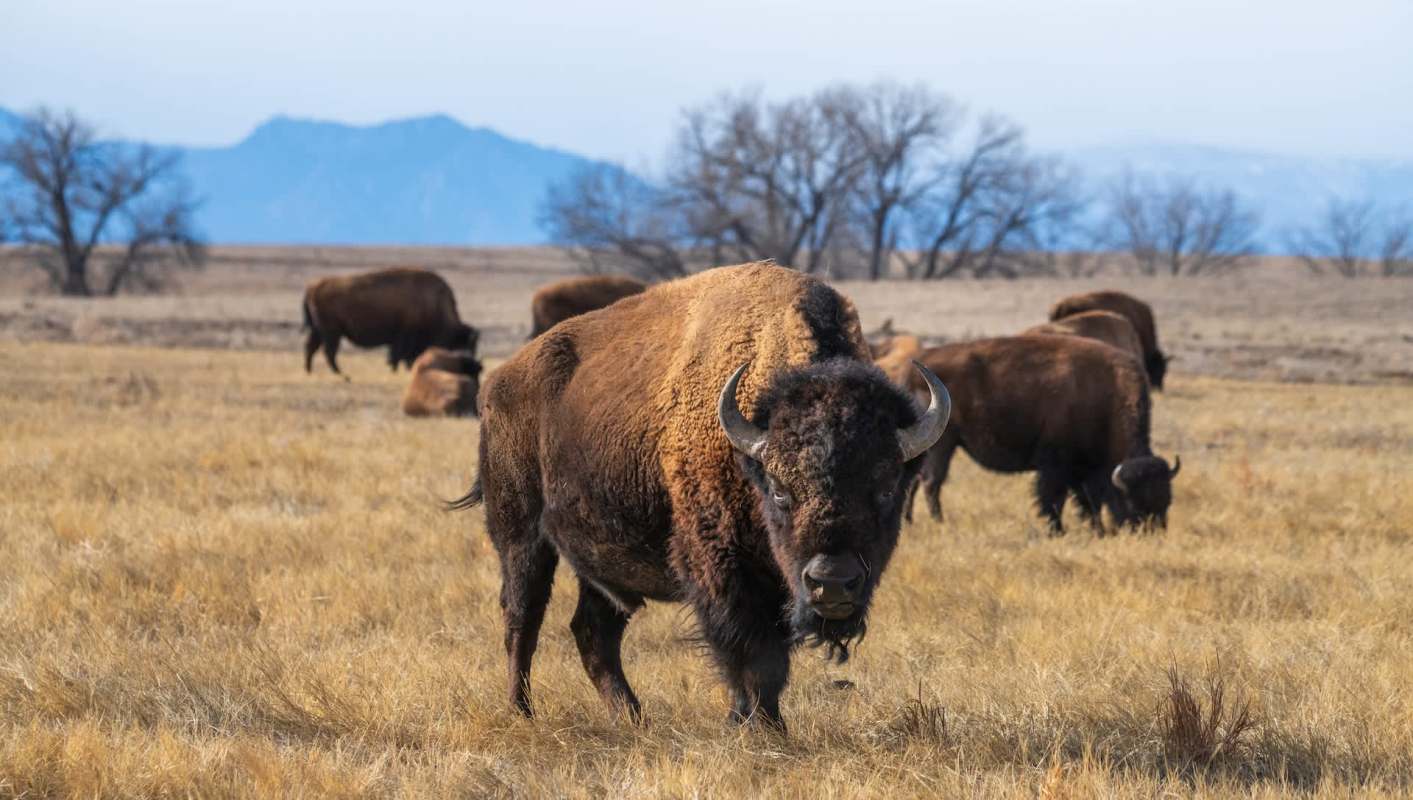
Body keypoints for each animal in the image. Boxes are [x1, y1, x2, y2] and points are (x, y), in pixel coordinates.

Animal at [302, 268, 477, 375]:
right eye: (467, 345)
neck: (433, 303)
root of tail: (313, 286)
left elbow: (398, 355)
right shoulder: (404, 335)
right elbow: (399, 355)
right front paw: (397, 369)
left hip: (320, 330)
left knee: (312, 348)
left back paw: (311, 372)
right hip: (331, 331)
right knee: (328, 351)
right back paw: (342, 374)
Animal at [453, 262, 950, 728]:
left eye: (886, 487)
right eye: (780, 490)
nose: (831, 581)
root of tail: (500, 382)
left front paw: (757, 722)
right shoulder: (721, 566)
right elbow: (753, 655)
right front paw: (761, 727)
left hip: (601, 559)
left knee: (593, 631)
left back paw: (633, 717)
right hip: (520, 534)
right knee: (522, 618)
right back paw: (522, 711)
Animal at [906, 335, 1179, 533]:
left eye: (1167, 501)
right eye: (1133, 501)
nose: (1150, 532)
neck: (1106, 398)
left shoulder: (1083, 469)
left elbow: (1088, 501)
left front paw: (1096, 530)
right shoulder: (1056, 464)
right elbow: (1054, 497)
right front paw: (1058, 531)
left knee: (916, 481)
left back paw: (910, 521)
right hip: (943, 443)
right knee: (931, 482)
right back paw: (939, 522)